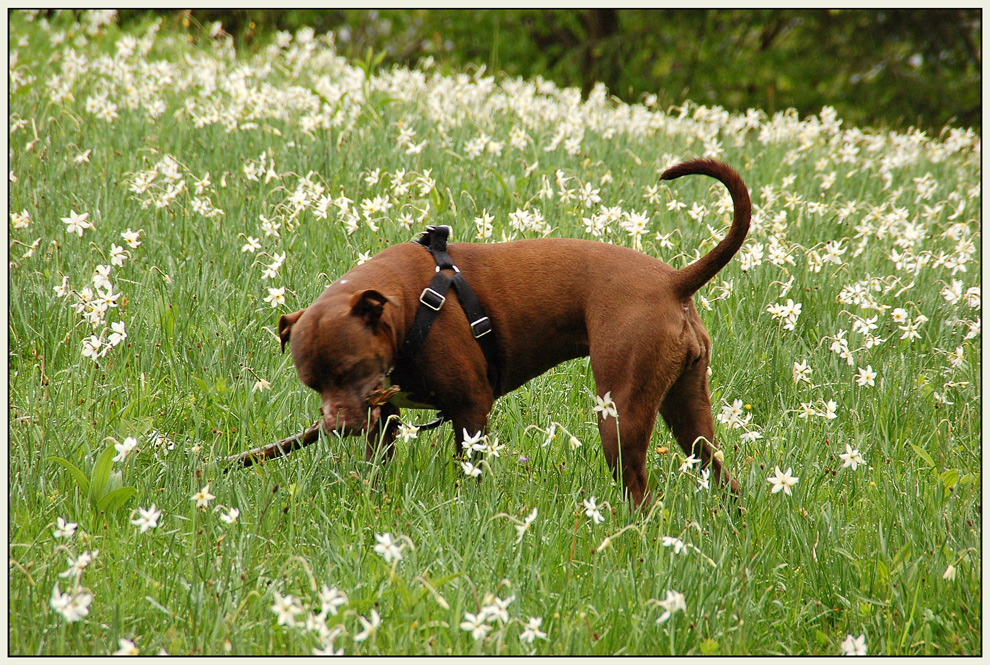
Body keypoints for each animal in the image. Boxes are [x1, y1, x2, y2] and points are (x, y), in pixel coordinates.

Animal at [276, 160, 748, 504]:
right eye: (311, 382)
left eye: (352, 369)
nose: (335, 427)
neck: (408, 307)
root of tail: (674, 282)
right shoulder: (384, 421)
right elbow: (377, 470)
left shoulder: (471, 410)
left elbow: (469, 473)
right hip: (686, 408)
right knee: (722, 474)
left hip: (621, 415)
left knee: (641, 494)